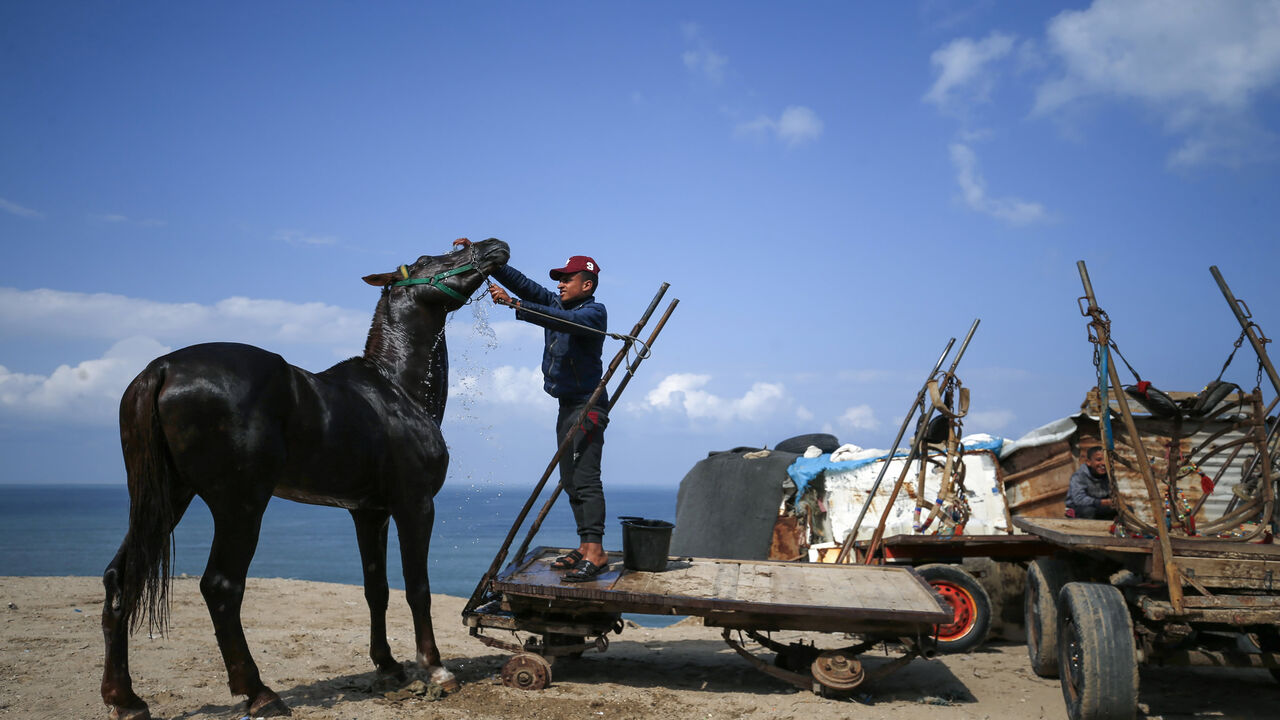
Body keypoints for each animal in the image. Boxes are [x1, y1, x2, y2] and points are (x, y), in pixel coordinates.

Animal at [101, 237, 509, 717]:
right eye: (428, 260)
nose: (493, 245)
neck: (396, 389)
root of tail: (161, 369)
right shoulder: (415, 505)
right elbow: (417, 588)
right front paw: (436, 670)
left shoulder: (368, 512)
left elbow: (377, 588)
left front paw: (388, 667)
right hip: (240, 505)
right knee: (221, 587)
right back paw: (260, 693)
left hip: (165, 499)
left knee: (121, 578)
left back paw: (125, 698)